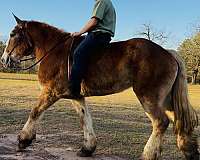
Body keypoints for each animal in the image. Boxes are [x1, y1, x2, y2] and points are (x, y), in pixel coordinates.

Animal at [0, 15, 199, 160]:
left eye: (12, 34)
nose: (4, 59)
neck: (54, 50)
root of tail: (168, 53)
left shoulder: (51, 92)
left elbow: (35, 112)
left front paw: (23, 140)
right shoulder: (76, 96)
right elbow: (85, 119)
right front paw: (87, 148)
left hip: (148, 97)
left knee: (161, 122)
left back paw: (148, 155)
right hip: (166, 99)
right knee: (180, 119)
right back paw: (189, 150)